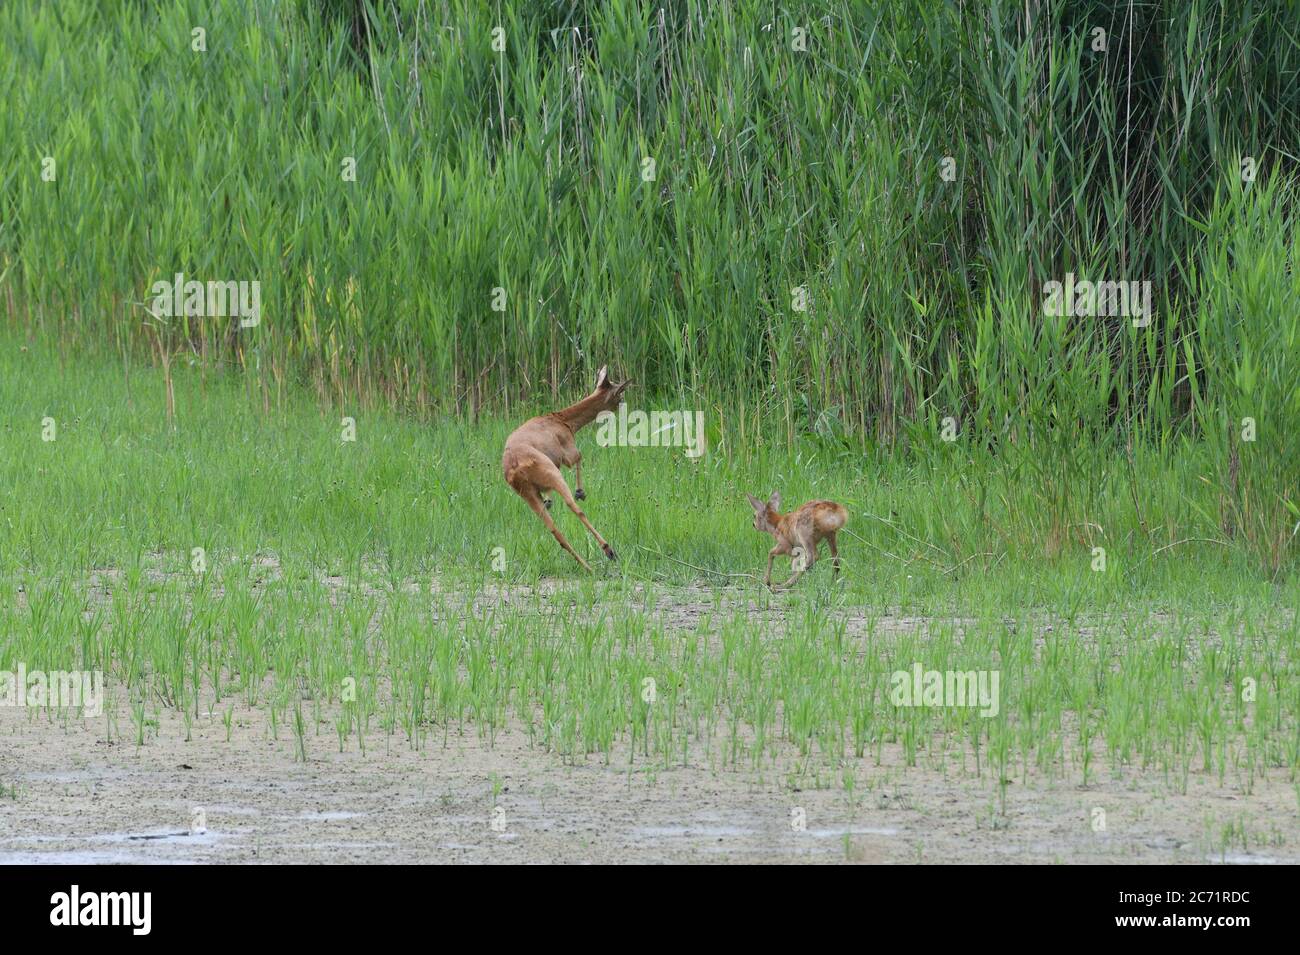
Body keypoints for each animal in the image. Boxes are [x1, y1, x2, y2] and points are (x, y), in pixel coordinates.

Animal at [501, 366, 629, 571]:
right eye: (620, 394)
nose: (624, 406)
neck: (565, 421)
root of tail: (515, 471)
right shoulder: (565, 451)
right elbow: (579, 456)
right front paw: (580, 492)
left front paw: (549, 500)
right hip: (552, 473)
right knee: (574, 507)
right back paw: (608, 550)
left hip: (527, 493)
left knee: (555, 530)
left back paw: (588, 566)